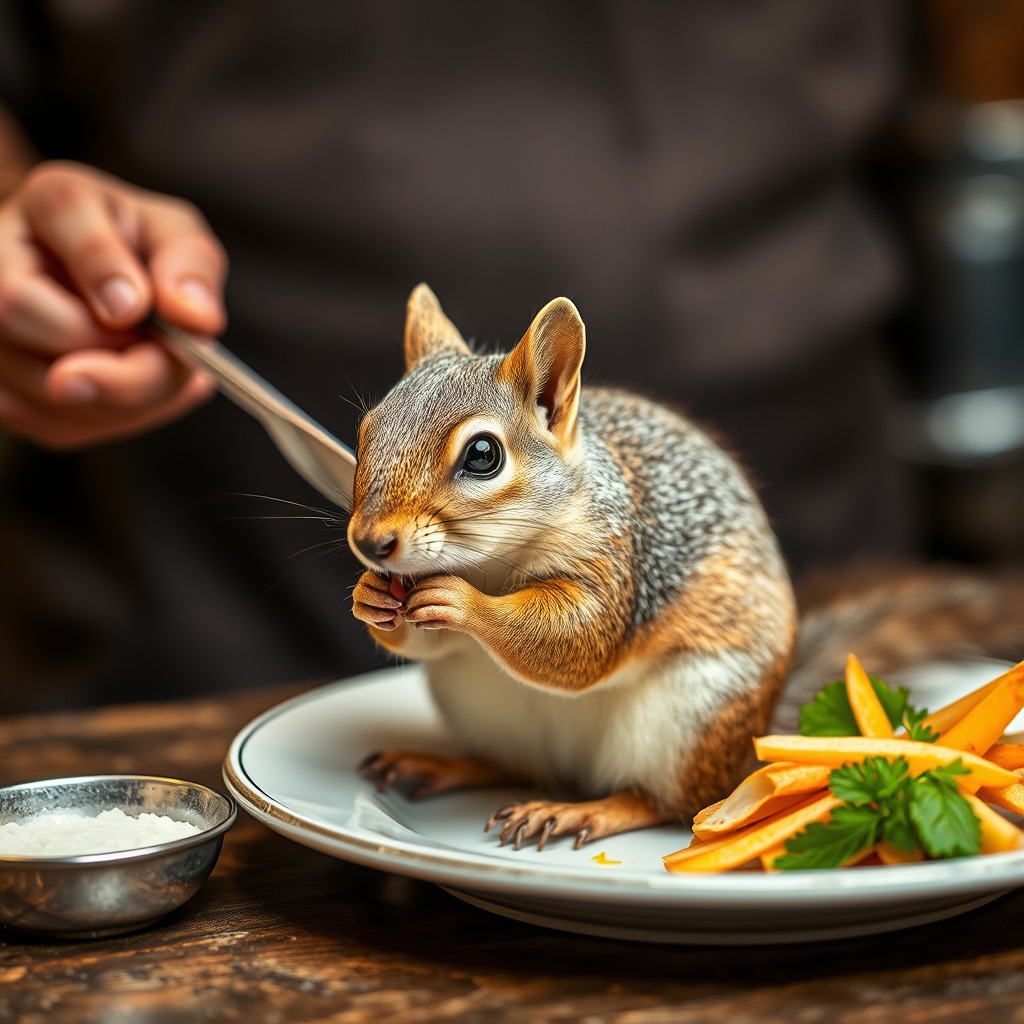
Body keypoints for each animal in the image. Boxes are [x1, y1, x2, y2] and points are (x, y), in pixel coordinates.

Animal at [348, 284, 1024, 850]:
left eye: (483, 455)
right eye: (365, 428)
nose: (370, 542)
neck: (492, 561)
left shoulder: (624, 561)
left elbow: (577, 642)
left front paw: (462, 603)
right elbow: (432, 641)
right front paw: (369, 599)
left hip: (690, 718)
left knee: (662, 801)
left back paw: (583, 810)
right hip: (479, 703)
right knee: (510, 763)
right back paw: (445, 763)